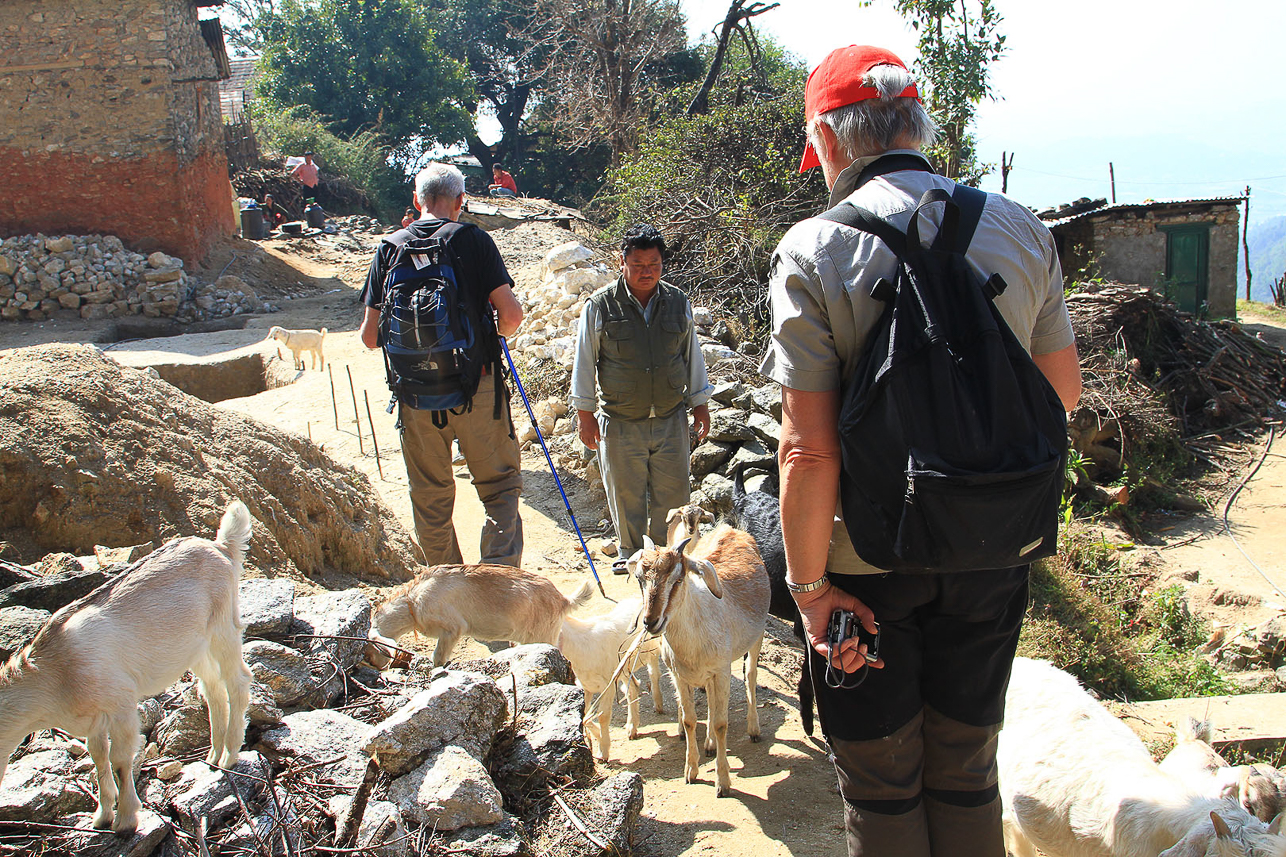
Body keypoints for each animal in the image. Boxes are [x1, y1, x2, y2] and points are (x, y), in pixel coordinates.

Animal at [0, 501, 253, 833]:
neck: (55, 675)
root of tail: (222, 546)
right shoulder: (95, 719)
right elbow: (99, 759)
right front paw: (101, 816)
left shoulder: (120, 702)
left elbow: (120, 759)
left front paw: (125, 821)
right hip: (194, 648)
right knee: (212, 688)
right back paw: (213, 754)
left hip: (224, 626)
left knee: (238, 680)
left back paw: (230, 756)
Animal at [367, 561, 596, 669]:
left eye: (370, 649)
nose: (377, 667)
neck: (412, 602)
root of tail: (562, 600)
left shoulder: (452, 629)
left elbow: (438, 657)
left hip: (540, 636)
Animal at [555, 597, 663, 756]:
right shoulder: (585, 686)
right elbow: (584, 715)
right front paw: (598, 739)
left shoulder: (608, 685)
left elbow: (603, 715)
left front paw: (603, 751)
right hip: (624, 667)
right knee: (632, 688)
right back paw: (632, 728)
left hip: (652, 650)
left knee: (654, 673)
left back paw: (658, 705)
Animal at [627, 519, 766, 792]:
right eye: (639, 578)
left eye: (678, 578)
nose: (651, 622)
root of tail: (730, 529)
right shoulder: (680, 675)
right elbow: (690, 720)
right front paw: (691, 771)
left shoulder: (722, 671)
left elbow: (722, 723)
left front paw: (723, 782)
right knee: (711, 699)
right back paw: (709, 744)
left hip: (757, 638)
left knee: (751, 676)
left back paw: (753, 729)